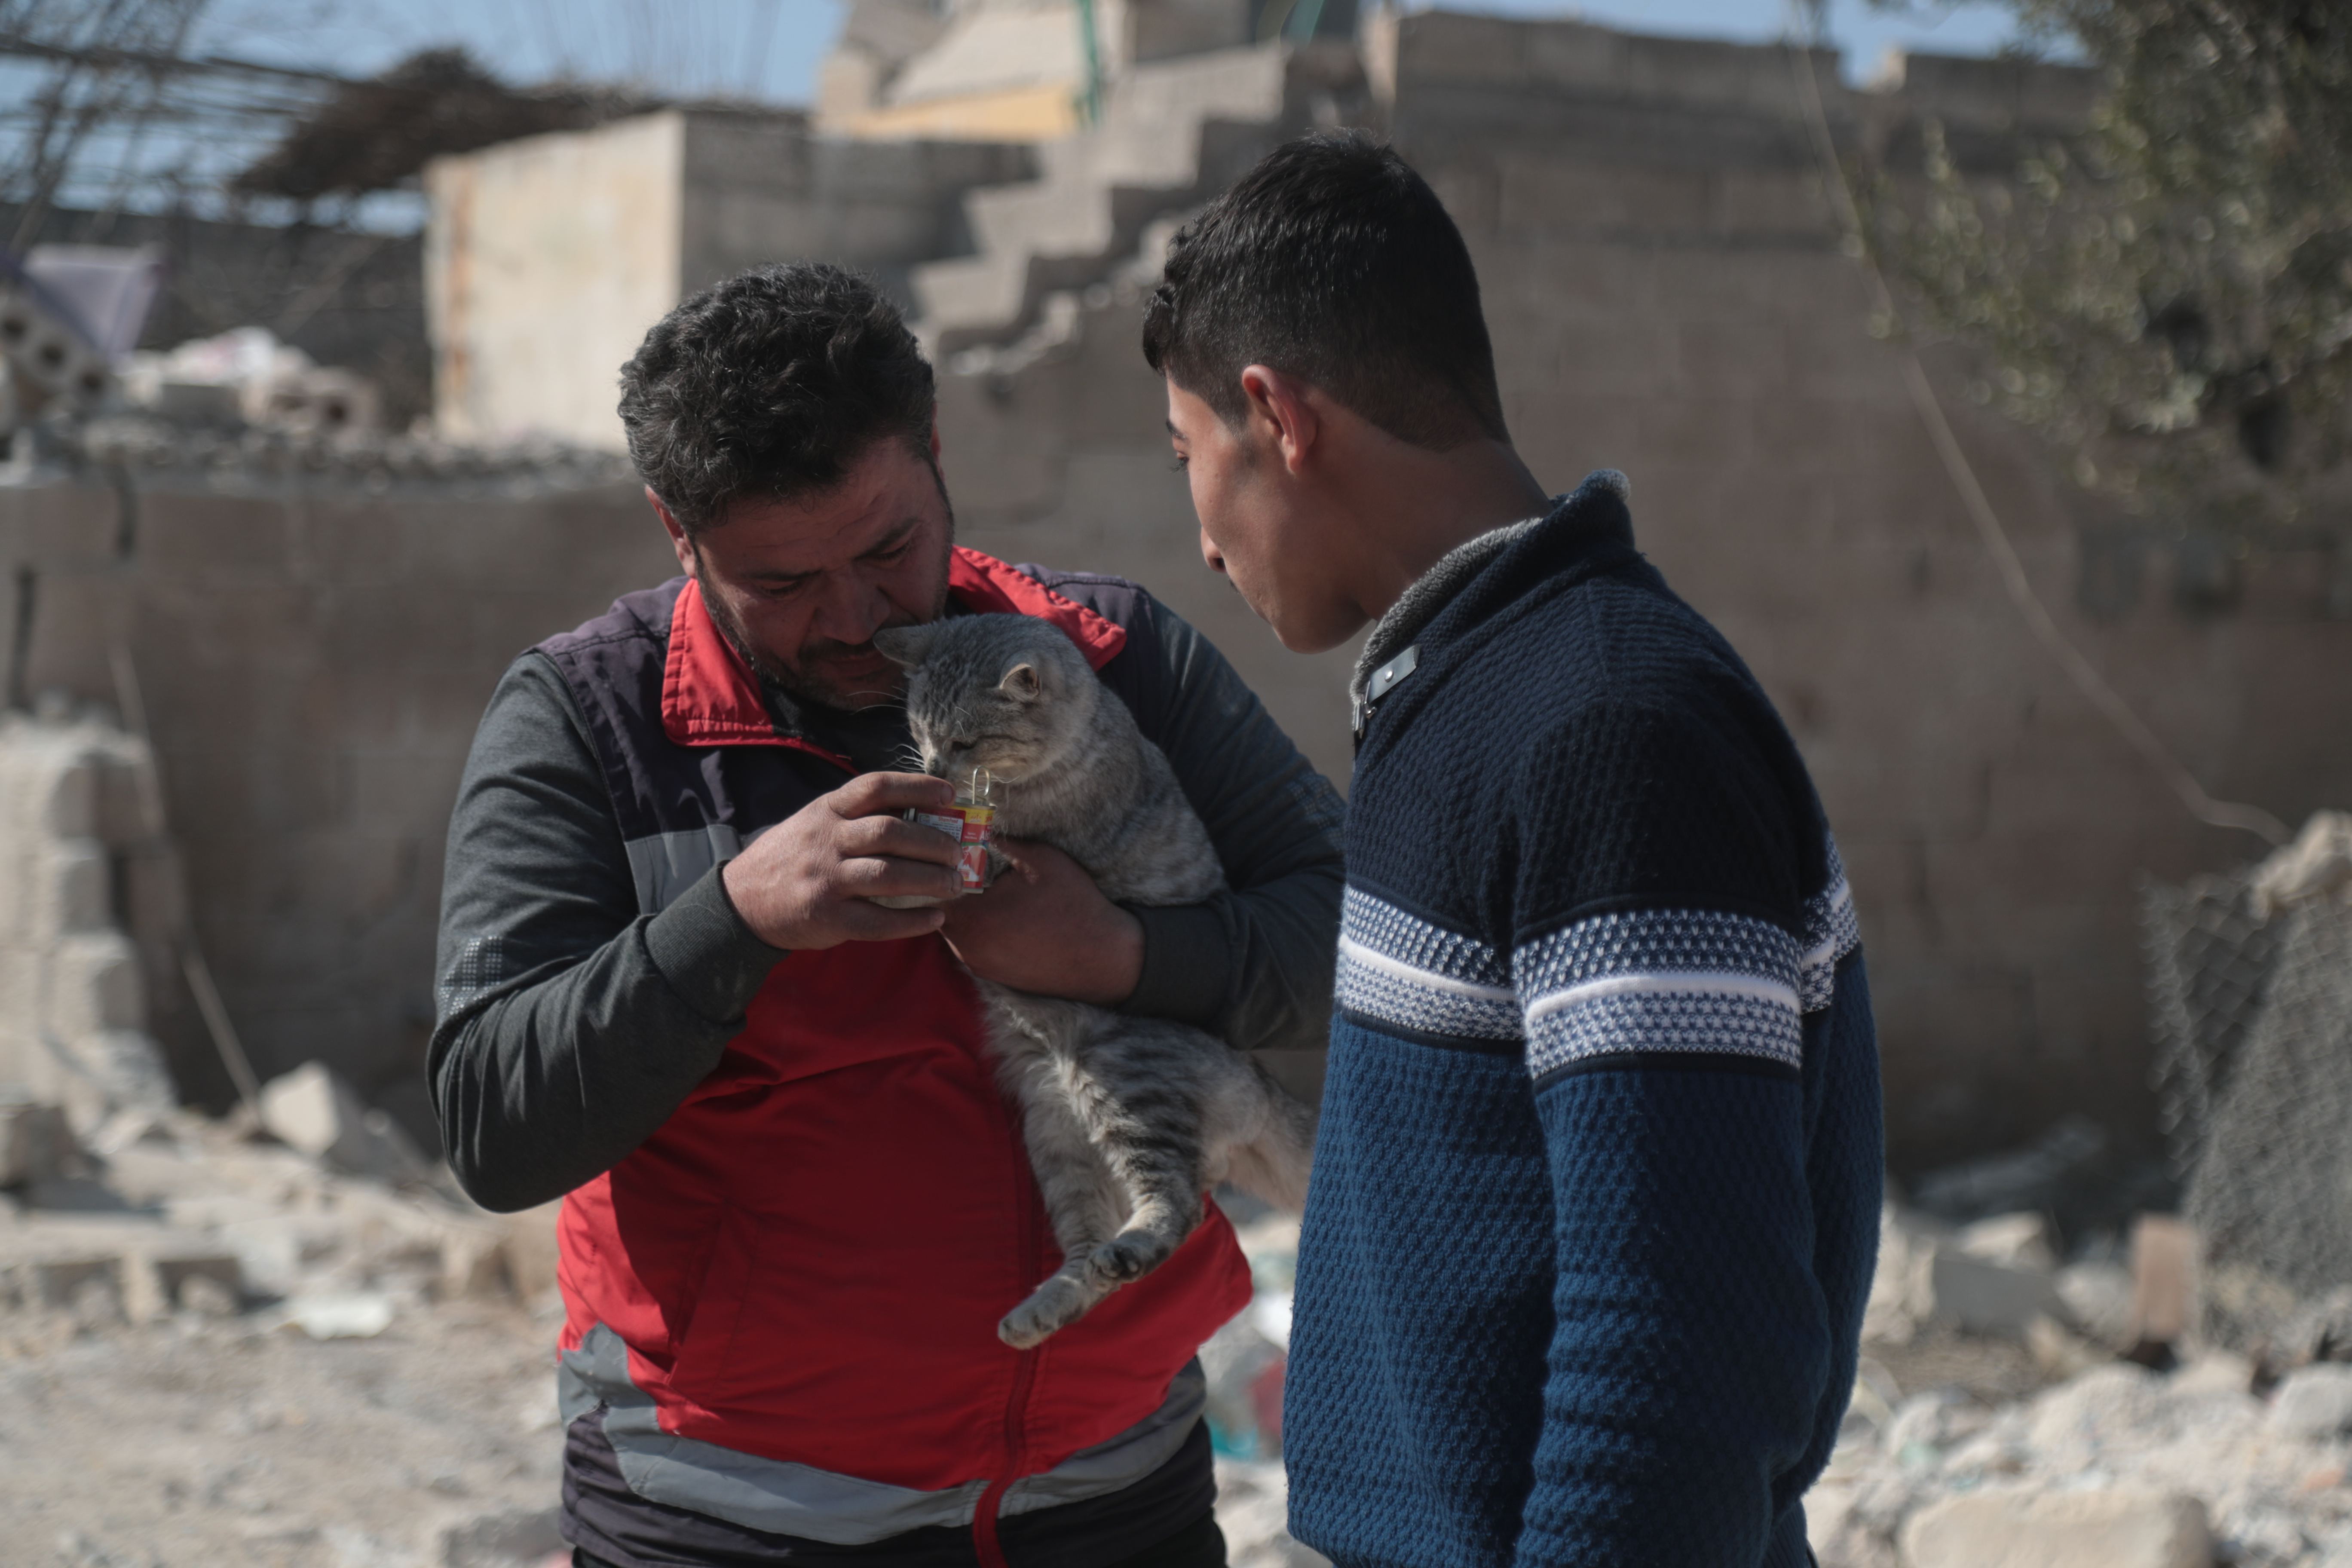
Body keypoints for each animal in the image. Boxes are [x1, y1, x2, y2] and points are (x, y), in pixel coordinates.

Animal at [875, 611, 1326, 1354]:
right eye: (921, 731)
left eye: (968, 740)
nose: (936, 772)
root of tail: (1259, 1083)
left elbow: (978, 855)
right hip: (1059, 1141)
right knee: (1088, 1249)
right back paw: (1041, 1311)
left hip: (1127, 1082)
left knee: (1177, 1203)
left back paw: (1131, 1250)